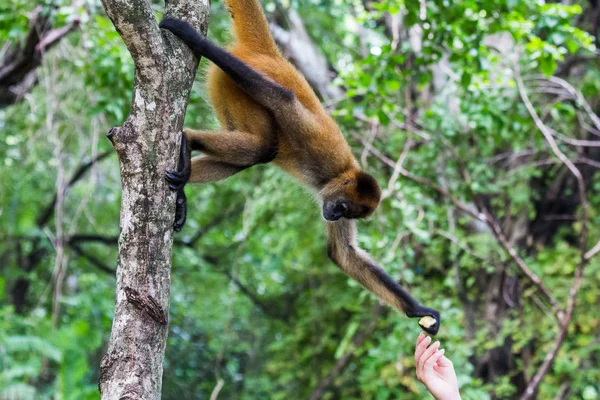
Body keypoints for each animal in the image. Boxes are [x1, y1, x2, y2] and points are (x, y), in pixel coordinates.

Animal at [159, 0, 440, 334]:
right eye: (344, 207)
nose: (334, 215)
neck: (340, 173)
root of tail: (271, 55)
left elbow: (343, 255)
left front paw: (419, 310)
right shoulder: (320, 147)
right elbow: (283, 100)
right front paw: (193, 39)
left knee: (249, 156)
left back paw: (182, 184)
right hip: (232, 84)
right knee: (263, 147)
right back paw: (188, 139)